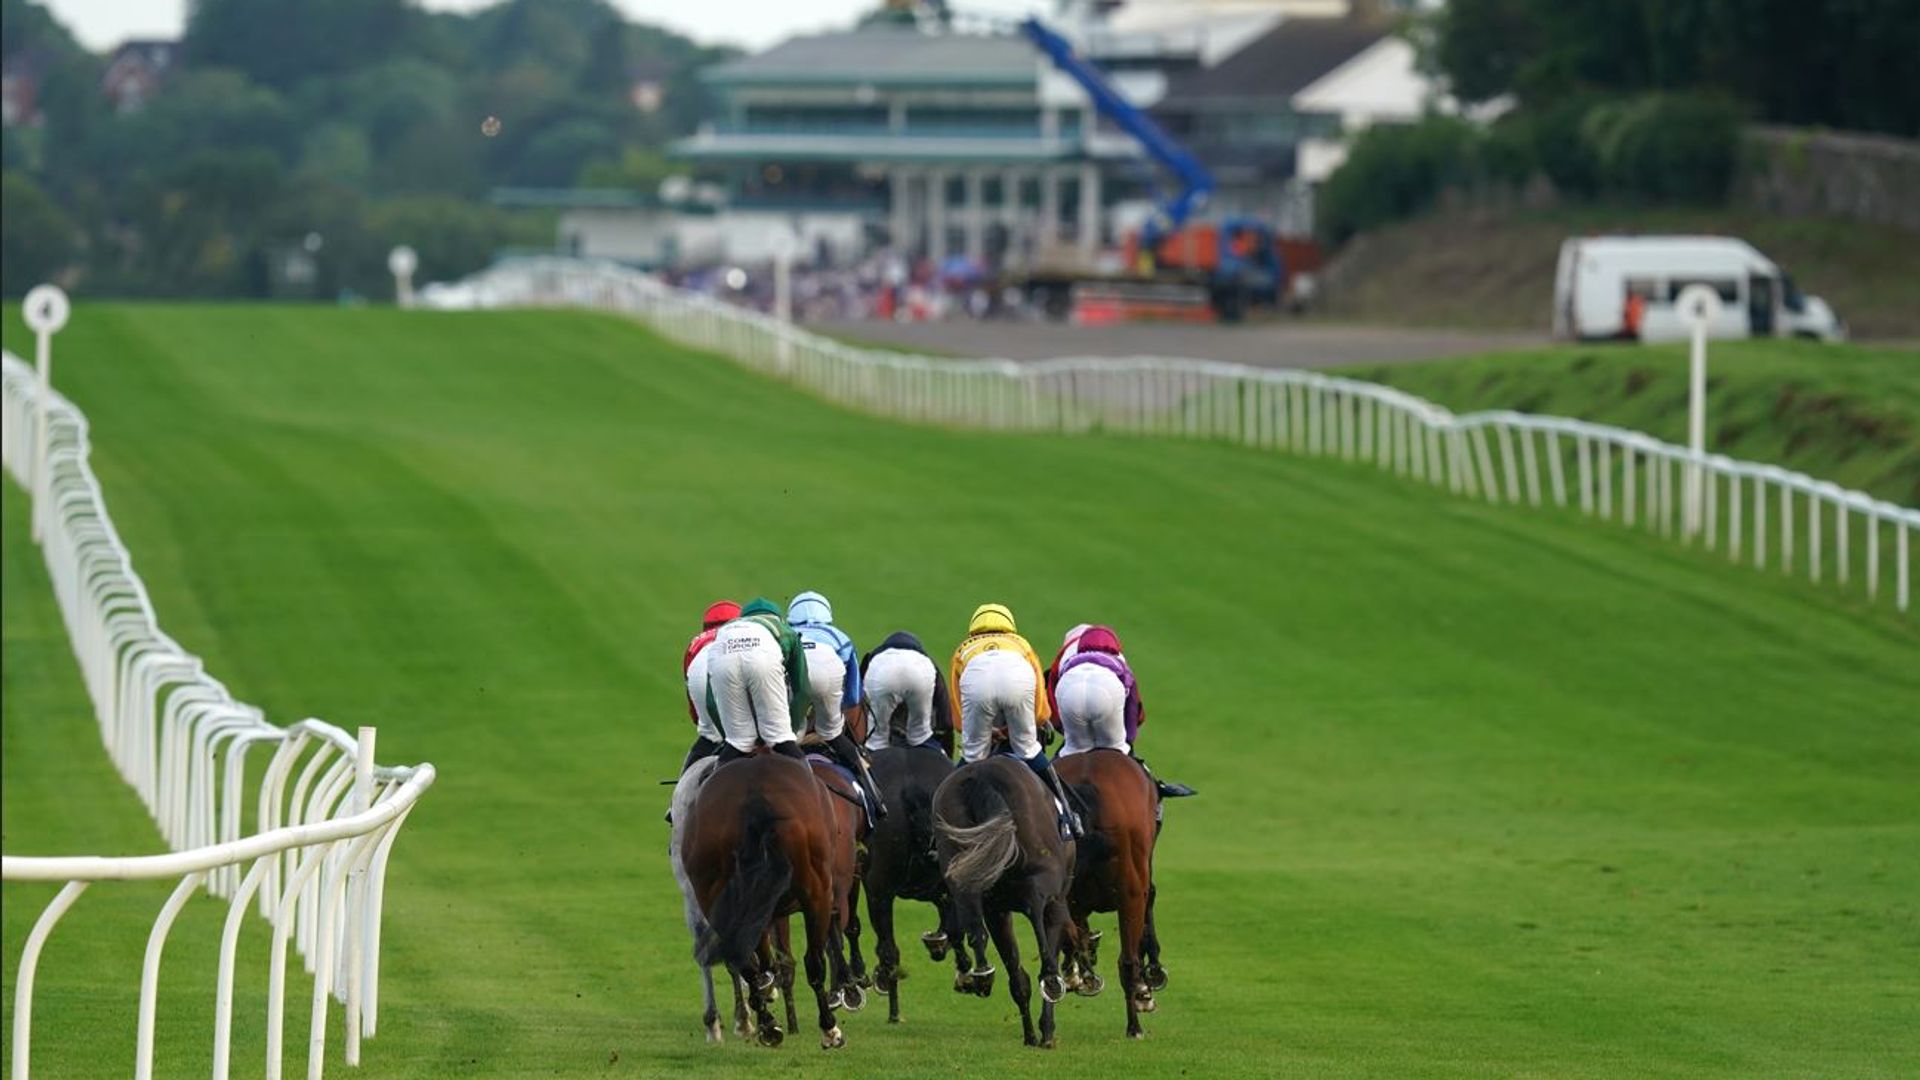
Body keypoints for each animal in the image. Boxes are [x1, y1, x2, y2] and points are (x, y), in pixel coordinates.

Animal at [683, 749, 848, 1045]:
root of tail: (756, 797)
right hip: (816, 891)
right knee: (813, 962)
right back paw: (827, 1028)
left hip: (711, 889)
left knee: (742, 958)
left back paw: (765, 1023)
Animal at [933, 749, 1082, 1045]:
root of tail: (981, 776)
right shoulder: (1056, 898)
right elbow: (1054, 937)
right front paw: (1046, 1028)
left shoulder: (997, 910)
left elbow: (1016, 975)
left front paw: (1031, 1035)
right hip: (1042, 878)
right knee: (1037, 910)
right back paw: (1050, 979)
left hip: (961, 866)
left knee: (973, 919)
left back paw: (981, 975)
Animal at [1052, 749, 1167, 1037]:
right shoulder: (1137, 887)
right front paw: (1146, 987)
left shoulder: (1074, 897)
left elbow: (1077, 937)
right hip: (1131, 890)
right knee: (1127, 960)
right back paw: (1134, 1026)